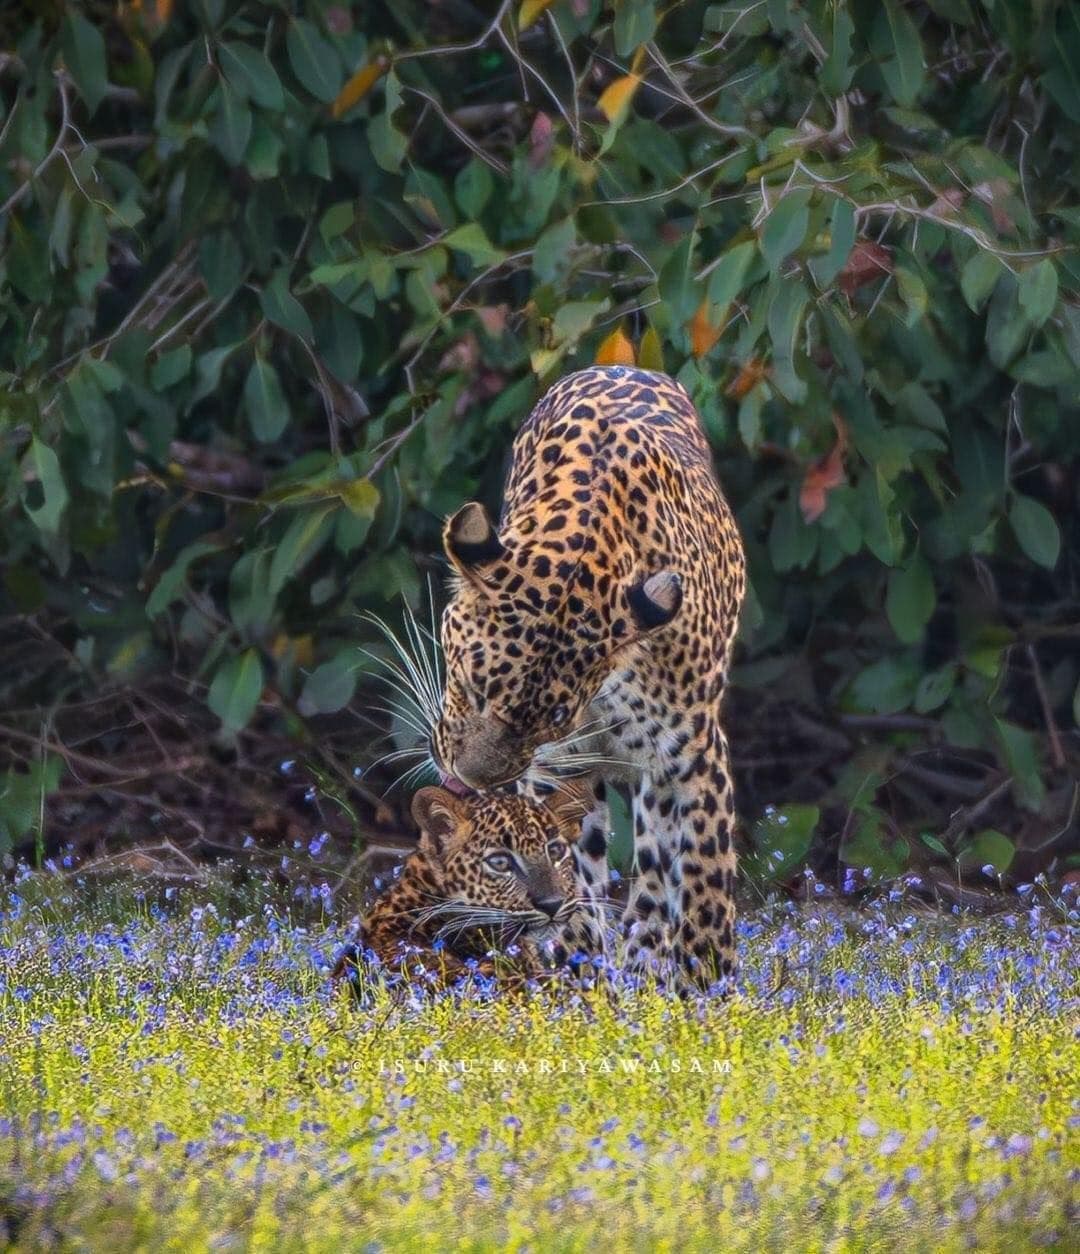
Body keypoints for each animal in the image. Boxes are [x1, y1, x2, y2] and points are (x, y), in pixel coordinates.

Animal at [431, 365, 746, 989]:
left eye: (552, 717)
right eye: (473, 686)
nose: (470, 781)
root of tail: (626, 365)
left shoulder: (694, 755)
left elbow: (703, 880)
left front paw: (708, 990)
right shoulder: (558, 772)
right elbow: (566, 869)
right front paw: (583, 976)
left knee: (657, 869)